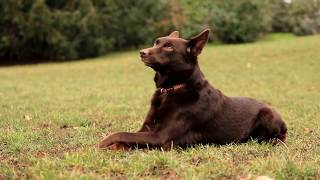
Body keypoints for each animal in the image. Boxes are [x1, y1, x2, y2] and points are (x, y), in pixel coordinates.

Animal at [98, 28, 288, 150]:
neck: (171, 89)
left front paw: (102, 143)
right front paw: (115, 146)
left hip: (267, 116)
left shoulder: (161, 138)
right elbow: (128, 136)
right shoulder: (146, 129)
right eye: (156, 42)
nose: (142, 52)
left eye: (169, 46)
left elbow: (120, 133)